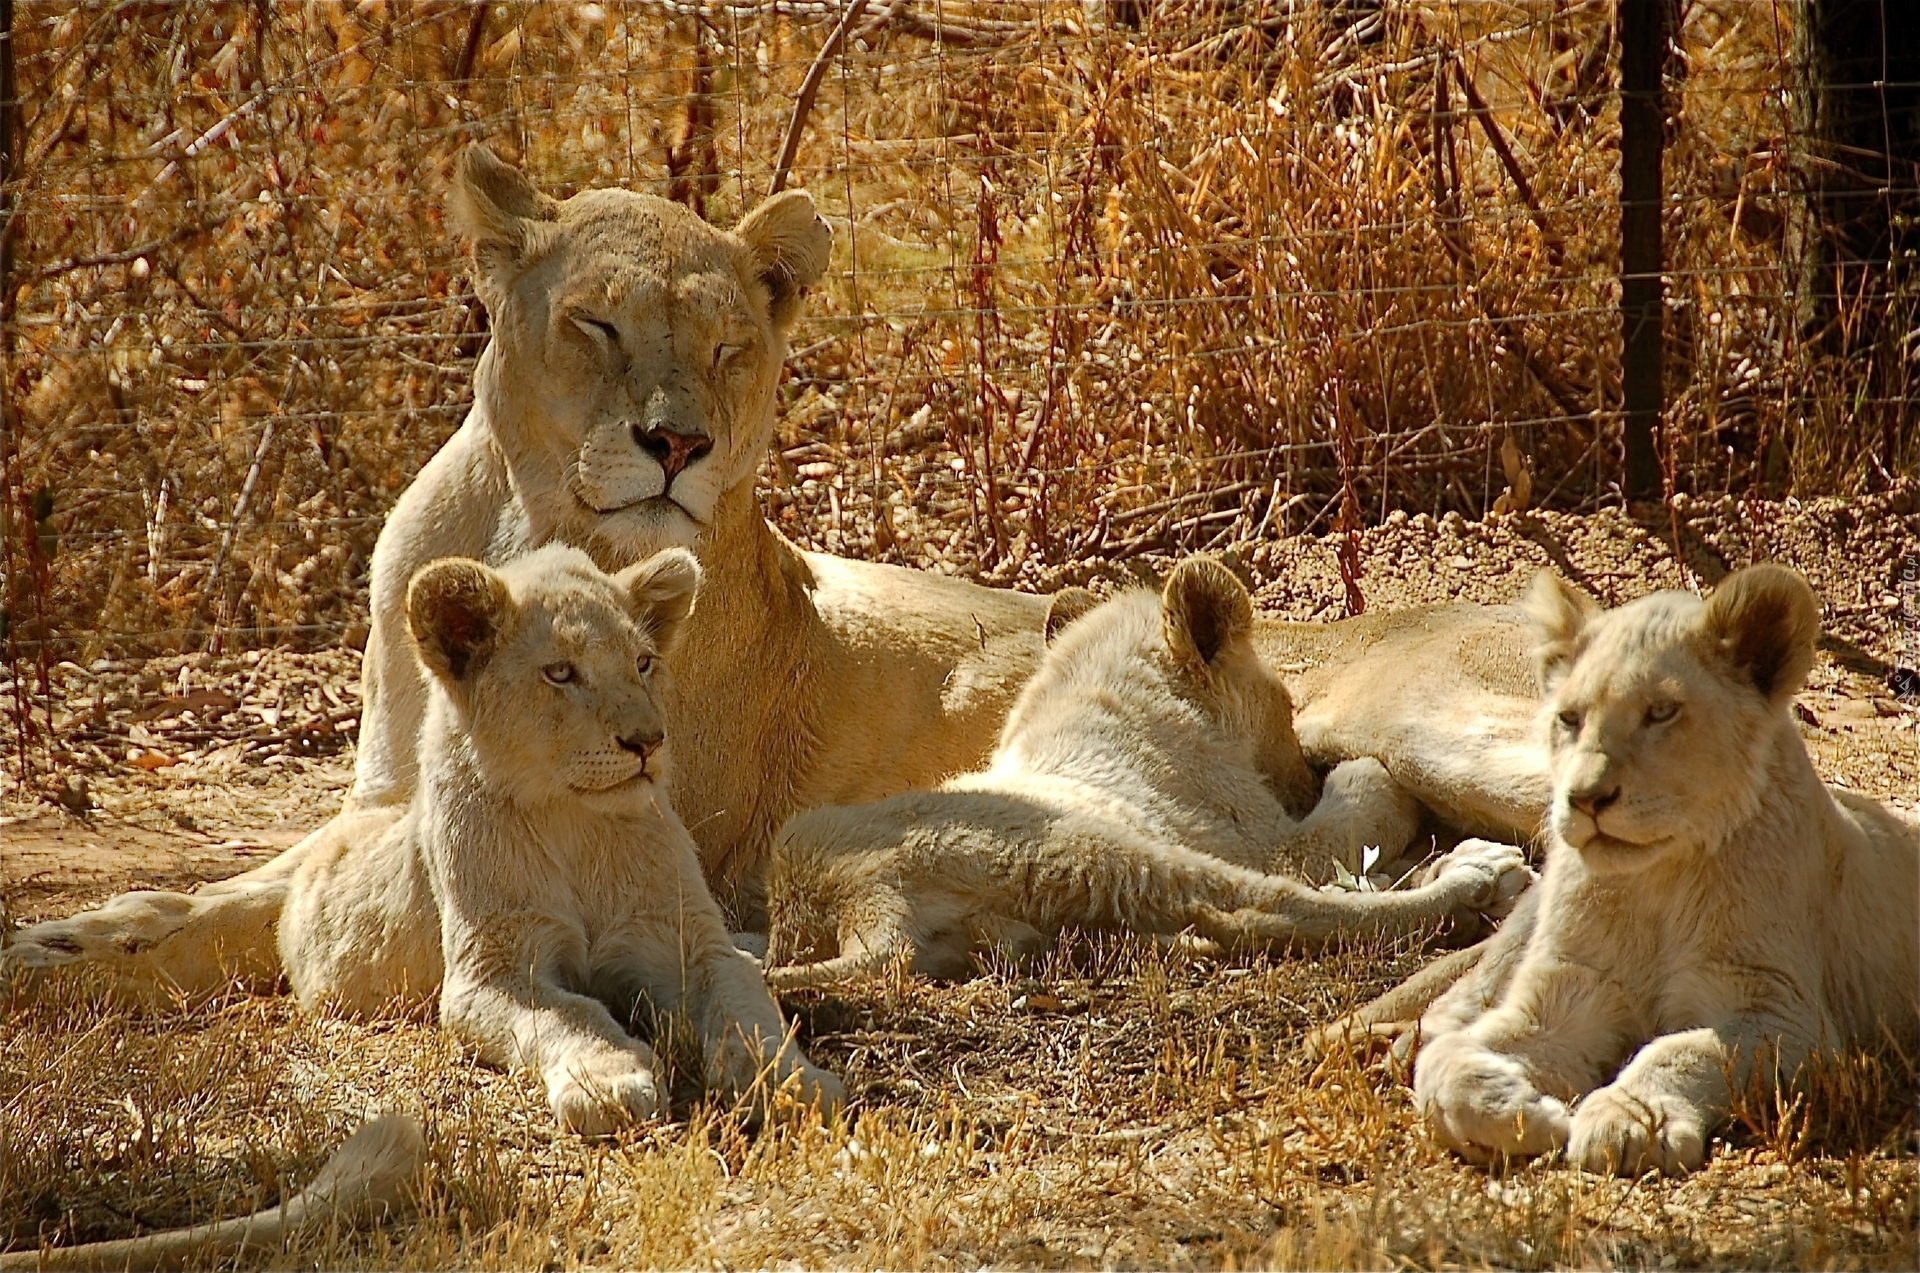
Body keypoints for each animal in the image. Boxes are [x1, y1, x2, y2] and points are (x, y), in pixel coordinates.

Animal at [281, 544, 842, 1133]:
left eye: (643, 662)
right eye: (560, 672)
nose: (648, 741)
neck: (577, 822)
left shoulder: (686, 938)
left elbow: (747, 1010)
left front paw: (793, 1086)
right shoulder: (491, 972)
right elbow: (573, 1014)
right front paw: (610, 1083)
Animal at [763, 560, 1534, 988]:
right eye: (1286, 706)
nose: (1304, 780)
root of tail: (853, 905)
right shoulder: (1268, 840)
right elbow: (1358, 808)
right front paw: (1361, 780)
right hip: (1088, 848)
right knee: (1277, 910)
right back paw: (1478, 876)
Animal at [1409, 564, 1920, 1177]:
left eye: (1660, 712)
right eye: (1569, 719)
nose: (1585, 798)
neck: (1656, 883)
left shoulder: (1786, 1014)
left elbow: (1681, 1050)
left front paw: (1629, 1123)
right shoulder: (1569, 989)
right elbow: (1443, 1063)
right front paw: (1518, 1112)